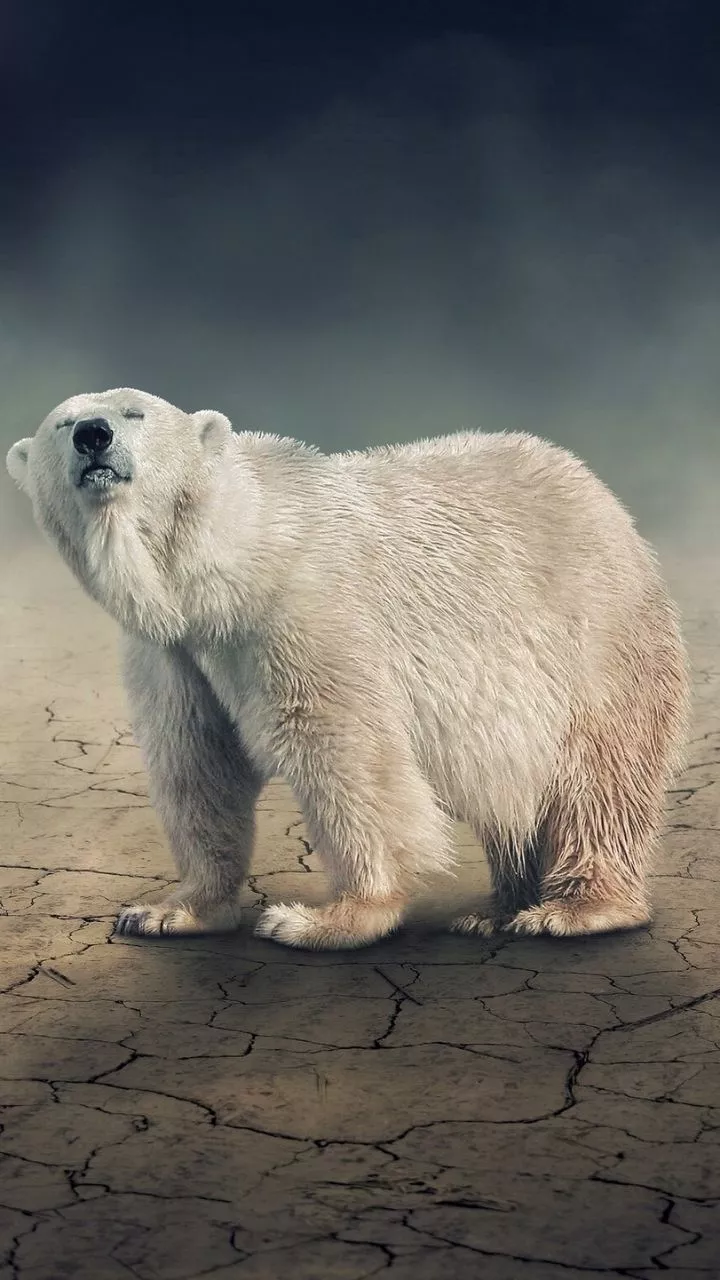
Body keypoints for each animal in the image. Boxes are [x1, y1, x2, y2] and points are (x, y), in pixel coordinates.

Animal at [7, 387, 690, 949]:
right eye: (62, 421)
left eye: (134, 413)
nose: (92, 434)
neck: (227, 565)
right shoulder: (174, 652)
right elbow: (198, 762)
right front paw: (170, 911)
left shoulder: (305, 611)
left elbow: (344, 751)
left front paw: (324, 919)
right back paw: (494, 909)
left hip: (593, 640)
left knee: (595, 776)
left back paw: (573, 910)